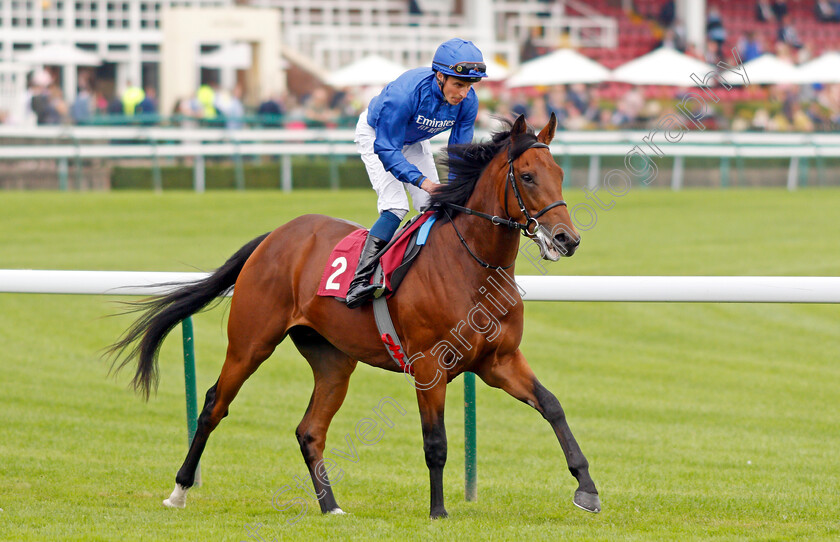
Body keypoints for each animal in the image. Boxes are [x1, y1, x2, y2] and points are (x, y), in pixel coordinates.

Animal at [108, 113, 600, 520]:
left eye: (560, 174)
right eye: (528, 176)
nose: (567, 239)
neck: (472, 264)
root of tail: (275, 236)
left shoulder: (499, 361)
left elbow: (552, 406)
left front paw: (588, 490)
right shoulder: (428, 366)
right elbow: (436, 442)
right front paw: (438, 512)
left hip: (333, 360)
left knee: (310, 430)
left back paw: (331, 507)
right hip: (251, 342)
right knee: (214, 405)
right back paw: (179, 491)